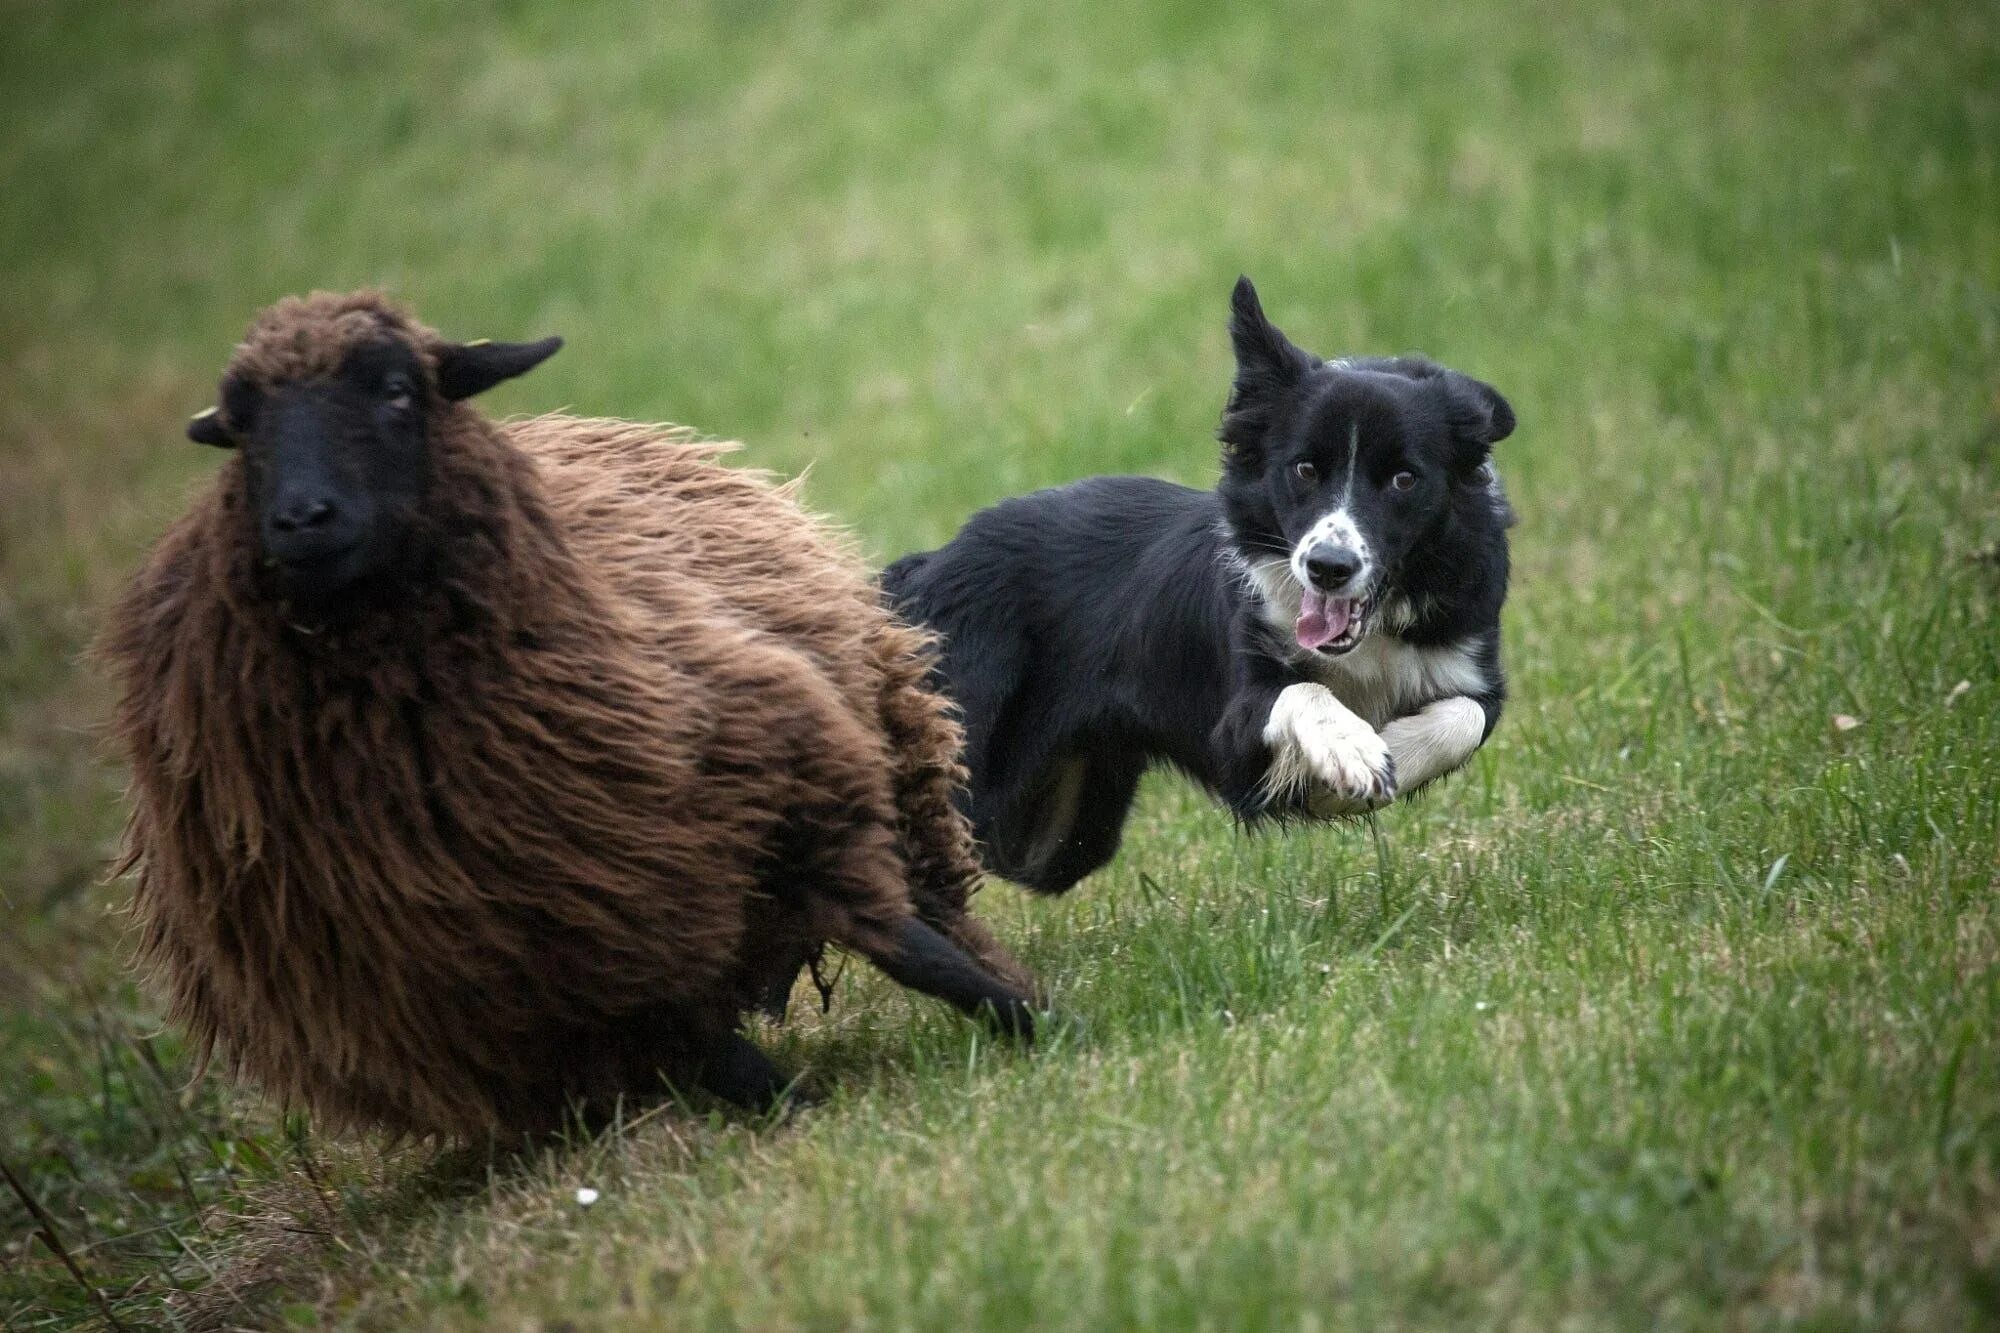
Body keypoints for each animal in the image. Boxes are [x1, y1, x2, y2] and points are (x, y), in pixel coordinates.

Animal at [105, 288, 1048, 1128]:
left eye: (397, 388)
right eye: (243, 426)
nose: (301, 518)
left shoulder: (794, 788)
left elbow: (913, 949)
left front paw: (1037, 1023)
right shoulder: (553, 968)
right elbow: (721, 1055)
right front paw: (799, 1116)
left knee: (931, 903)